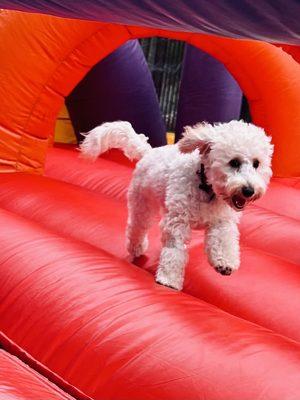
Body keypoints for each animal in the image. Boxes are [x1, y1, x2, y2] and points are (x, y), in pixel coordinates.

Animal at [81, 120, 274, 290]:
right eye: (234, 162)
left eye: (257, 163)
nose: (249, 190)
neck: (206, 186)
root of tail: (149, 152)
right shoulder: (178, 221)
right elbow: (175, 250)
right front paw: (169, 279)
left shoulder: (222, 221)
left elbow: (223, 240)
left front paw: (225, 263)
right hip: (142, 203)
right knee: (137, 226)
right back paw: (136, 247)